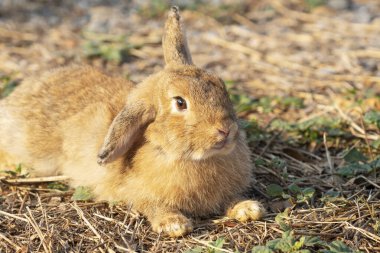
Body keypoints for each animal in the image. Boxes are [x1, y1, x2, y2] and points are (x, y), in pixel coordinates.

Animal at [0, 6, 264, 238]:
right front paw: (174, 225)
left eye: (221, 85)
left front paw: (248, 208)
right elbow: (153, 206)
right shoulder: (139, 194)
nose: (225, 130)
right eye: (180, 103)